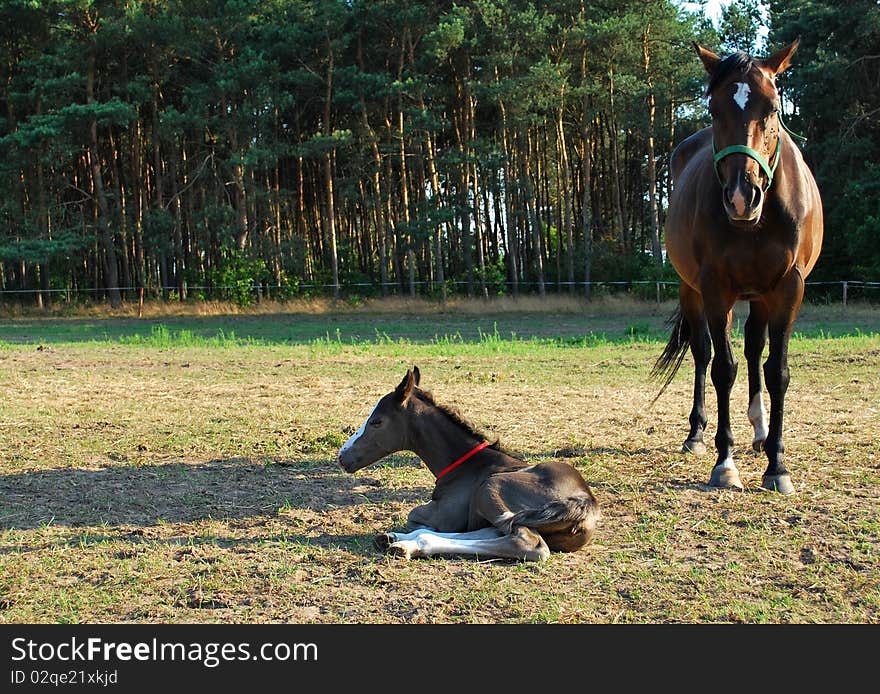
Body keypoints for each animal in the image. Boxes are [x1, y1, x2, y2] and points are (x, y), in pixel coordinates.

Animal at [336, 368, 600, 564]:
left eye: (376, 421)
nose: (342, 456)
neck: (465, 465)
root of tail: (585, 502)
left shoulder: (445, 515)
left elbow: (416, 517)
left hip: (490, 487)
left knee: (526, 543)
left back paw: (406, 545)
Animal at [652, 40, 824, 494]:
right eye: (714, 109)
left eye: (773, 107)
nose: (741, 196)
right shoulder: (716, 287)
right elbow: (722, 368)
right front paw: (724, 462)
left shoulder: (788, 288)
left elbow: (775, 371)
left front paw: (777, 466)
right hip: (692, 290)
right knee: (702, 353)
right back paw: (696, 434)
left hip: (761, 295)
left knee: (753, 350)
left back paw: (761, 433)